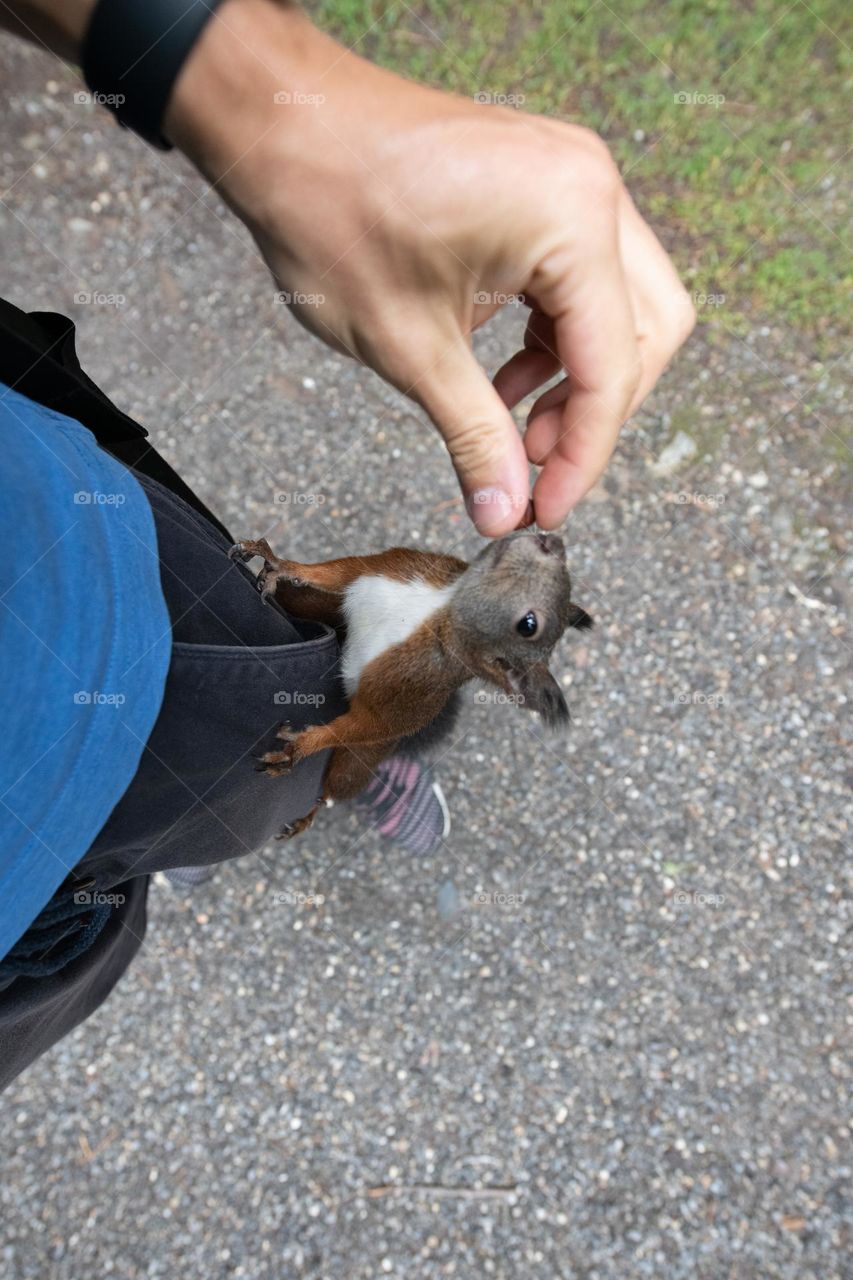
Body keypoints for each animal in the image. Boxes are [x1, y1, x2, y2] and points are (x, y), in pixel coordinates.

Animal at [229, 532, 594, 839]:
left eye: (529, 624)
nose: (551, 540)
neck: (438, 609)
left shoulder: (408, 692)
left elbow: (370, 723)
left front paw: (301, 746)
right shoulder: (393, 566)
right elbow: (335, 572)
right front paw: (277, 562)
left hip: (361, 759)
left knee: (335, 788)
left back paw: (309, 814)